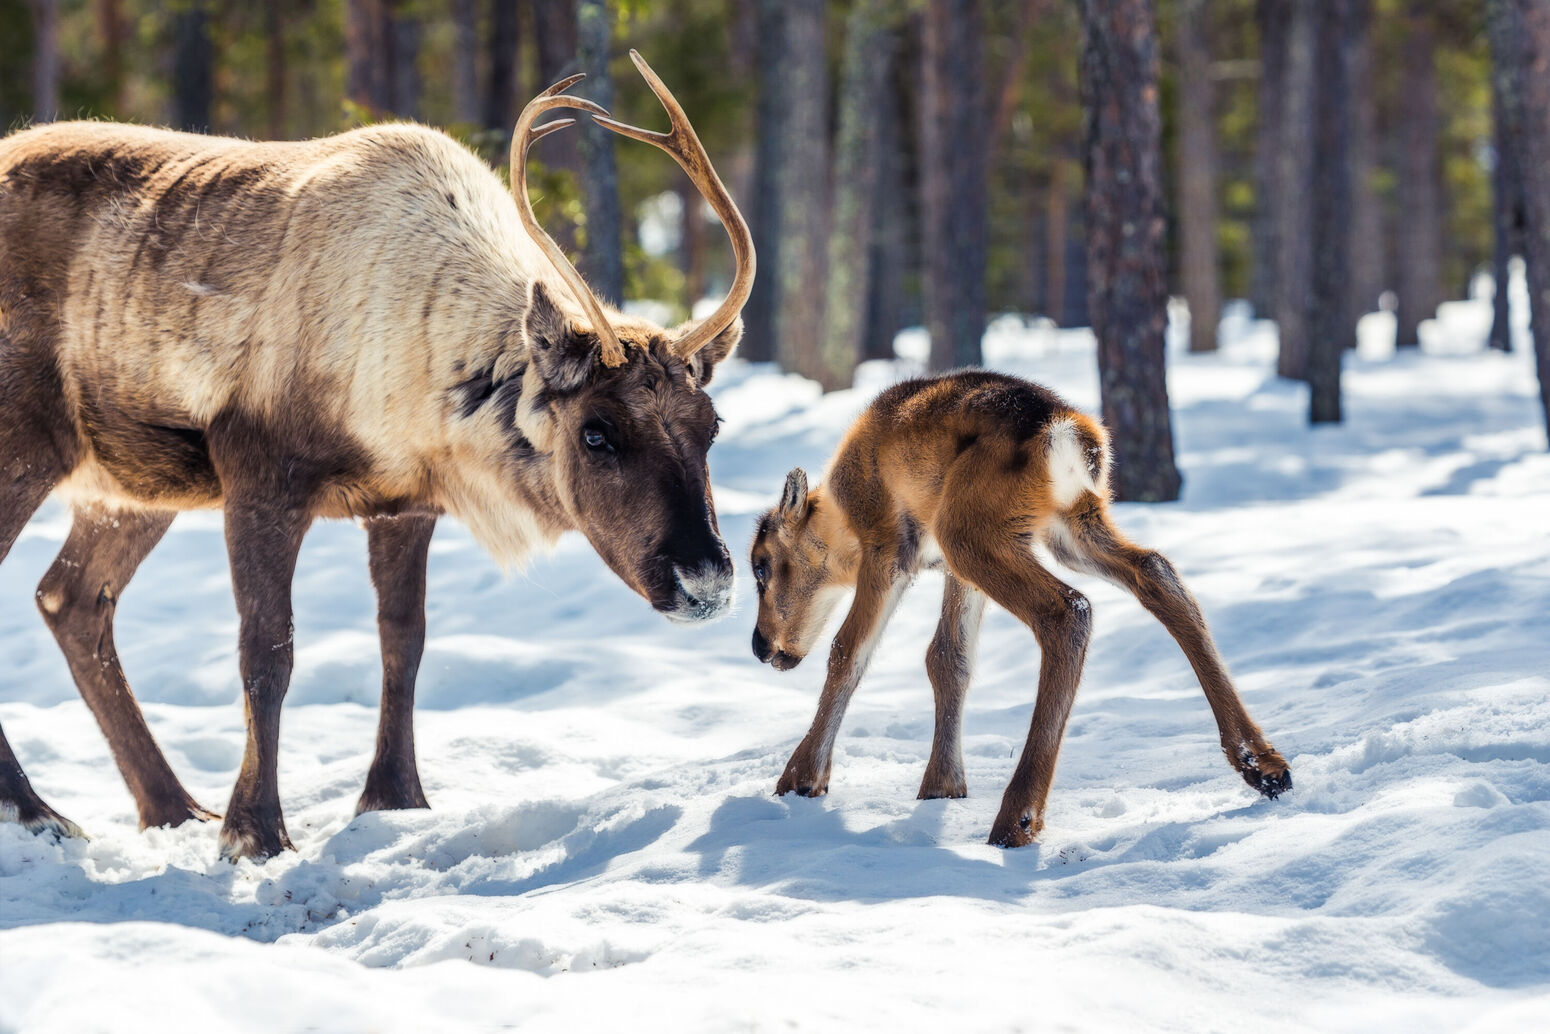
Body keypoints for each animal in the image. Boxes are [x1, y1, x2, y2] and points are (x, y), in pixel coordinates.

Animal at [744, 373, 1289, 849]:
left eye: (762, 565)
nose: (760, 644)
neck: (840, 518)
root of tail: (1068, 434)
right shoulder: (953, 573)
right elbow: (948, 659)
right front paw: (943, 785)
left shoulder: (888, 548)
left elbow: (848, 651)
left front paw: (800, 778)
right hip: (1070, 527)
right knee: (1156, 572)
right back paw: (1264, 766)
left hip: (970, 530)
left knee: (1069, 610)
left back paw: (1016, 819)